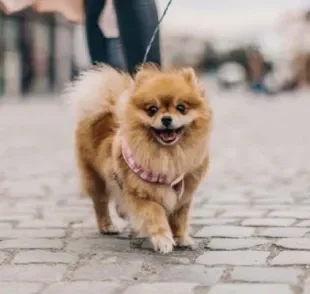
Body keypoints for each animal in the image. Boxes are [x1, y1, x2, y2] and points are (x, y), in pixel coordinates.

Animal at [67, 63, 213, 253]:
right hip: (96, 178)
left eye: (181, 108)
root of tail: (104, 110)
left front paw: (182, 238)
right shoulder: (141, 195)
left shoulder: (183, 196)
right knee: (100, 203)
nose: (166, 119)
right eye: (152, 110)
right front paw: (163, 239)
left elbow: (179, 219)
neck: (168, 155)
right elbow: (155, 214)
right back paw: (107, 226)